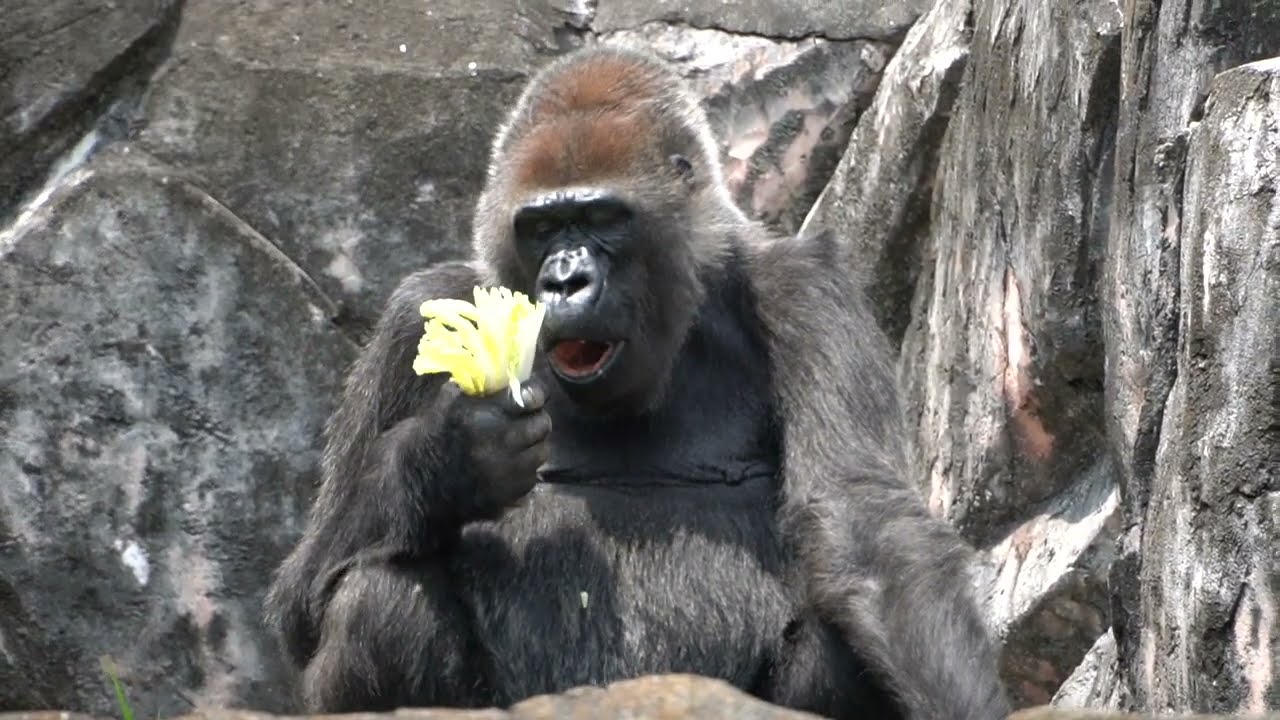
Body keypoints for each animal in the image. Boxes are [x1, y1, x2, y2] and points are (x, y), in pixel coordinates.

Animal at [264, 45, 1010, 720]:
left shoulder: (806, 286)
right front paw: (446, 456)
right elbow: (301, 600)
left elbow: (866, 528)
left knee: (840, 645)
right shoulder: (415, 313)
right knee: (380, 602)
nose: (565, 280)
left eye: (601, 219)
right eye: (541, 227)